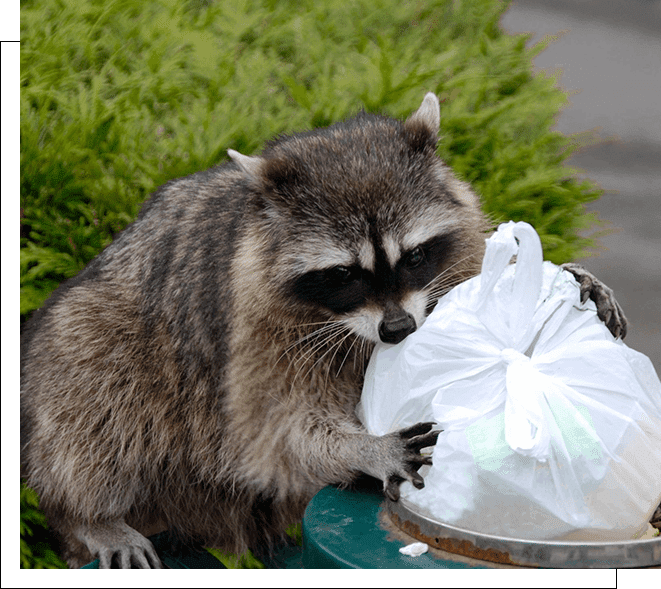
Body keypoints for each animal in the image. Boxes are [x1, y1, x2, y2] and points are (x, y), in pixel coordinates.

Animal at [20, 94, 628, 568]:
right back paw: (88, 513)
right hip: (96, 335)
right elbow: (272, 434)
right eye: (343, 275)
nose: (399, 329)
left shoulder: (452, 257)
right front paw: (364, 447)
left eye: (413, 257)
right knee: (94, 383)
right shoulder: (252, 333)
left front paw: (562, 277)